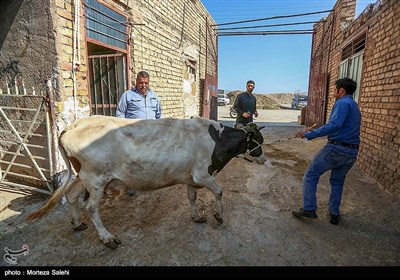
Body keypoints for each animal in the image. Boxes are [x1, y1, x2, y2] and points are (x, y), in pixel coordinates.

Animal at [28, 115, 266, 247]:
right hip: (95, 179)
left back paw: (78, 224)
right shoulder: (202, 174)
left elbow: (191, 197)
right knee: (91, 207)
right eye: (258, 141)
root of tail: (73, 126)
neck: (217, 140)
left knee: (71, 195)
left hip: (83, 176)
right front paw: (218, 215)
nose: (264, 159)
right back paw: (107, 238)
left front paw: (197, 216)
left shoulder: (191, 177)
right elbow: (219, 191)